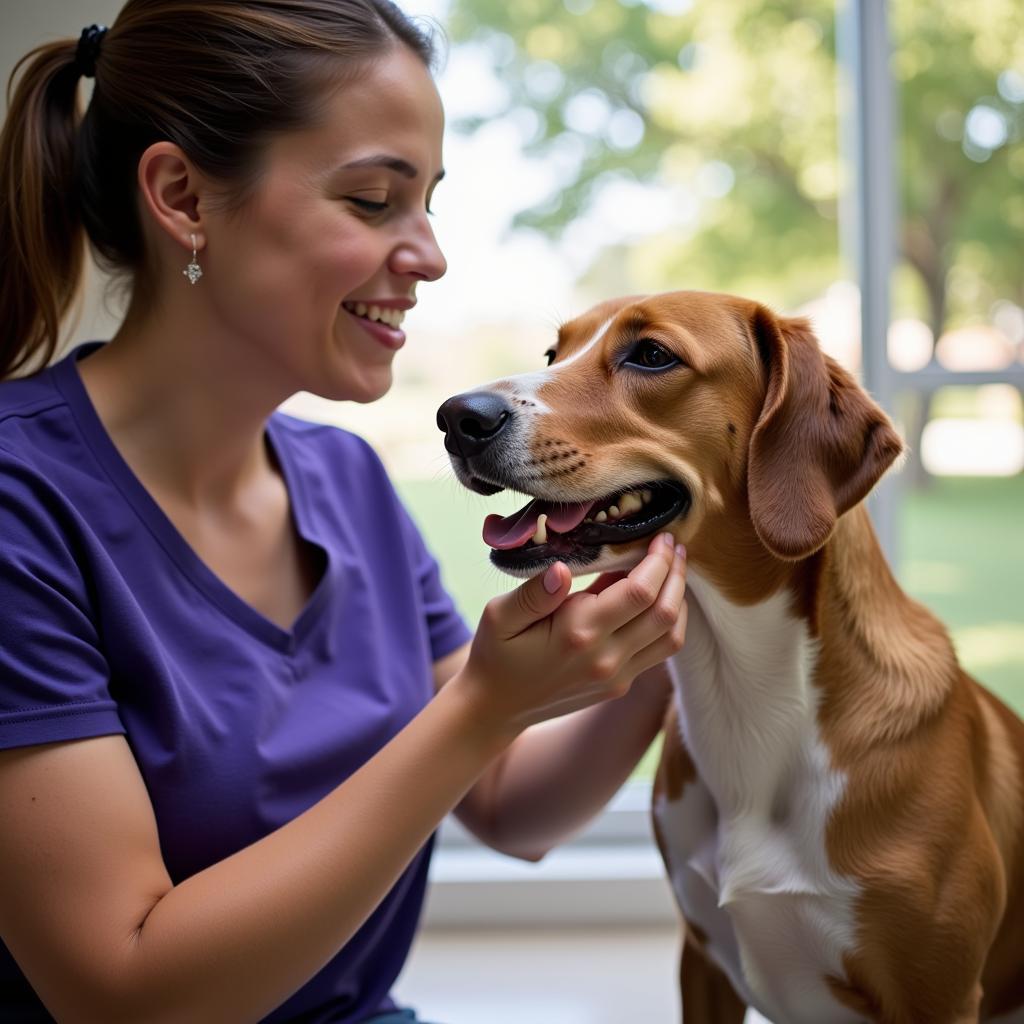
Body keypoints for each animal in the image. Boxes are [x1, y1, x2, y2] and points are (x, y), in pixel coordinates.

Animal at [434, 288, 1024, 1024]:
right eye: (554, 353)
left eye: (652, 355)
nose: (456, 417)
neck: (744, 696)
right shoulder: (702, 963)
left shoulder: (936, 997)